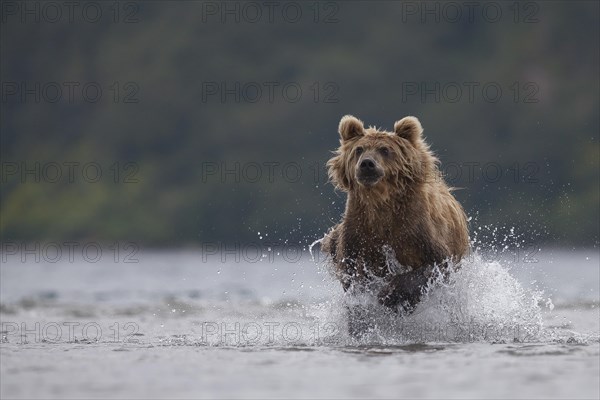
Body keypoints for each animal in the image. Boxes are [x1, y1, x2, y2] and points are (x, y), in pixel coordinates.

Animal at [324, 115, 468, 322]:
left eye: (385, 150)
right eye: (359, 149)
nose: (367, 164)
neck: (381, 202)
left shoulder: (418, 229)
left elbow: (434, 265)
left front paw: (388, 295)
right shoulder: (358, 232)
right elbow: (352, 275)